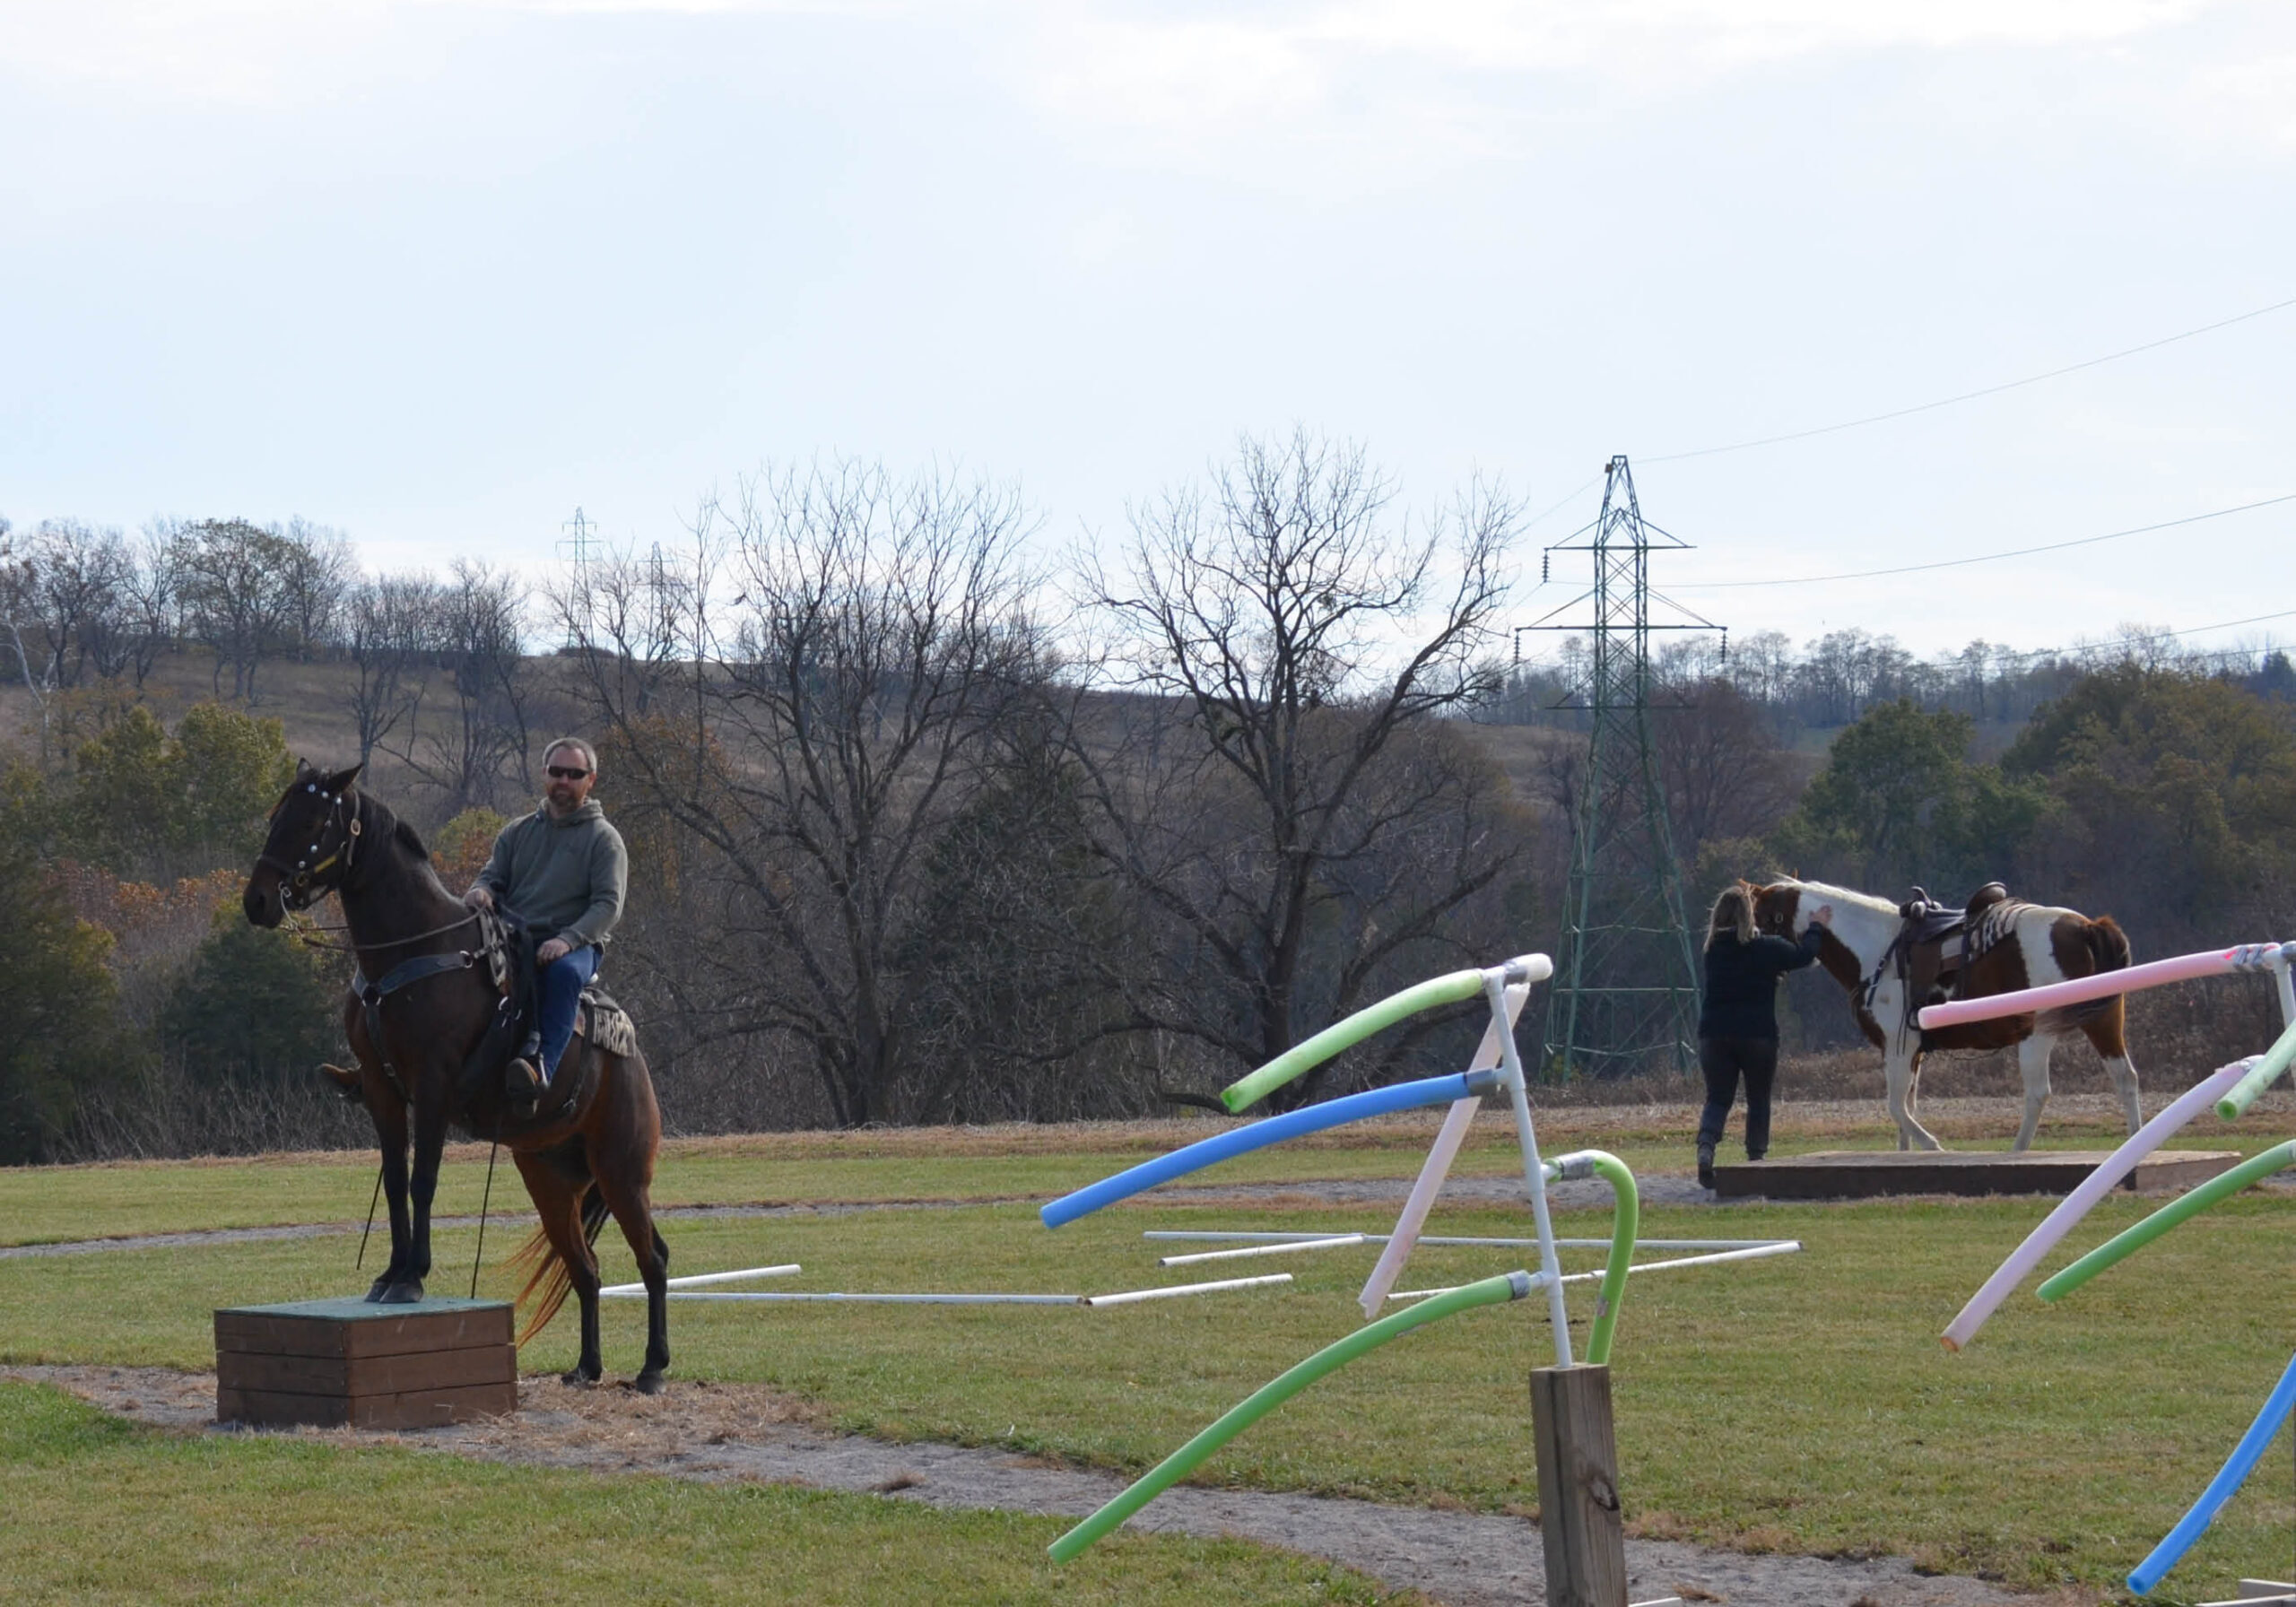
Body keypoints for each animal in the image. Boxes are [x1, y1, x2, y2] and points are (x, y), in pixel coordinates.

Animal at [244, 757, 670, 1386]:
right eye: (278, 815)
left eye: (314, 821)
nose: (258, 900)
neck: (410, 952)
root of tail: (631, 1061)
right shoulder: (383, 1092)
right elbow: (395, 1181)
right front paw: (390, 1273)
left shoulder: (434, 1087)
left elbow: (423, 1180)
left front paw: (413, 1277)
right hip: (549, 1180)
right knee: (585, 1267)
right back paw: (586, 1367)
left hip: (622, 1172)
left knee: (653, 1258)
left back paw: (652, 1368)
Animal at [1744, 876, 2139, 1157]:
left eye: (1761, 915)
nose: (1748, 943)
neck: (1877, 949)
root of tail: (2085, 927)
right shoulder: (1910, 1052)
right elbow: (1907, 1107)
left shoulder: (1899, 1047)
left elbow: (1896, 1107)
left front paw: (1933, 1146)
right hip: (2103, 1021)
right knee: (2125, 1078)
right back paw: (2134, 1141)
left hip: (2038, 1034)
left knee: (2038, 1093)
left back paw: (2017, 1151)